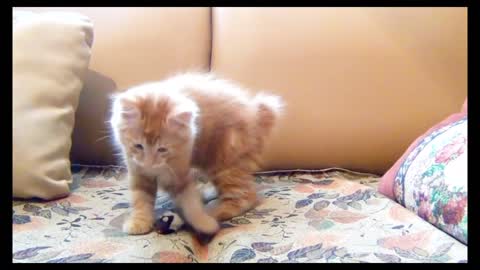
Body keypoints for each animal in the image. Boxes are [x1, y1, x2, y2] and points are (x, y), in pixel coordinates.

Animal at [110, 73, 284, 235]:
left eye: (162, 149)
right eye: (138, 146)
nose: (149, 163)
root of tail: (256, 113)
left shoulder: (179, 174)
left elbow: (190, 202)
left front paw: (205, 223)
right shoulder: (138, 172)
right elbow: (141, 199)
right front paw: (139, 222)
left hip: (225, 162)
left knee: (245, 197)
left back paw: (213, 212)